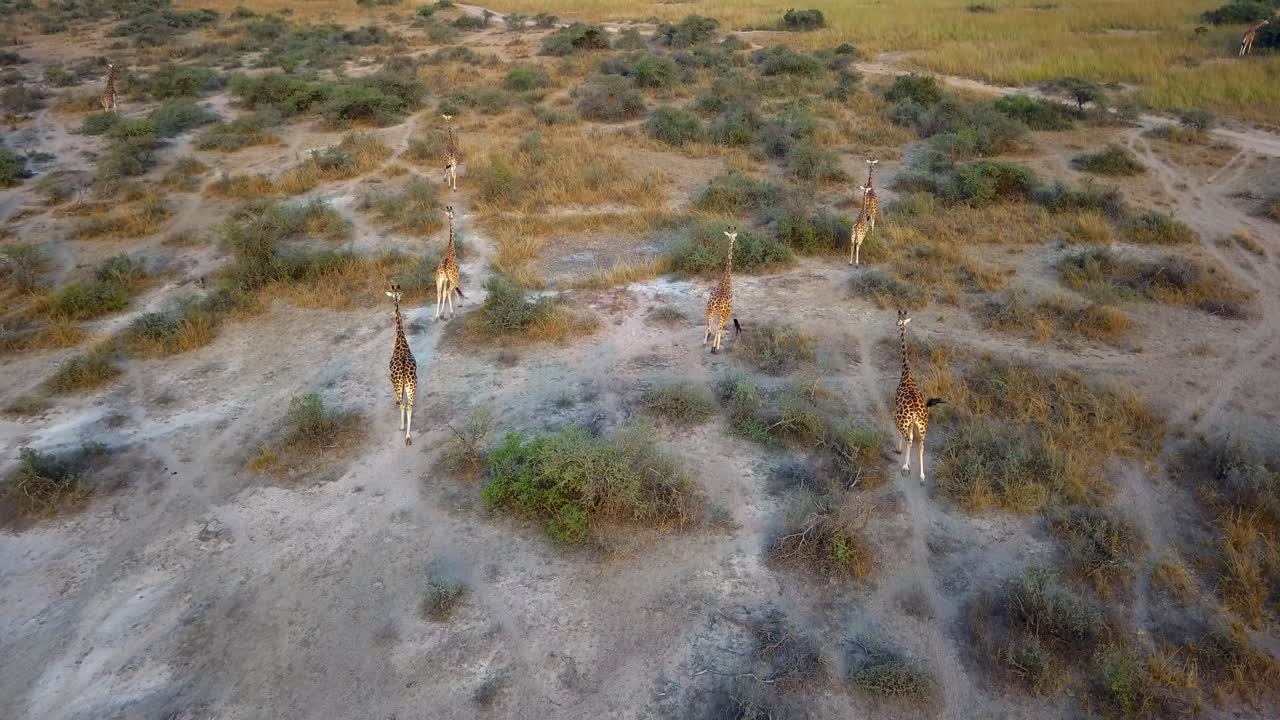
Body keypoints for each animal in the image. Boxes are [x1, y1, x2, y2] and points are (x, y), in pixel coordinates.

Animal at [893, 309, 945, 482]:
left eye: (898, 320)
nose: (896, 324)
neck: (906, 374)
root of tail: (916, 411)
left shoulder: (897, 410)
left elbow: (905, 437)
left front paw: (902, 455)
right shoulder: (914, 424)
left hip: (901, 420)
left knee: (909, 439)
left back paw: (905, 467)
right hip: (922, 425)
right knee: (921, 445)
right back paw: (922, 476)